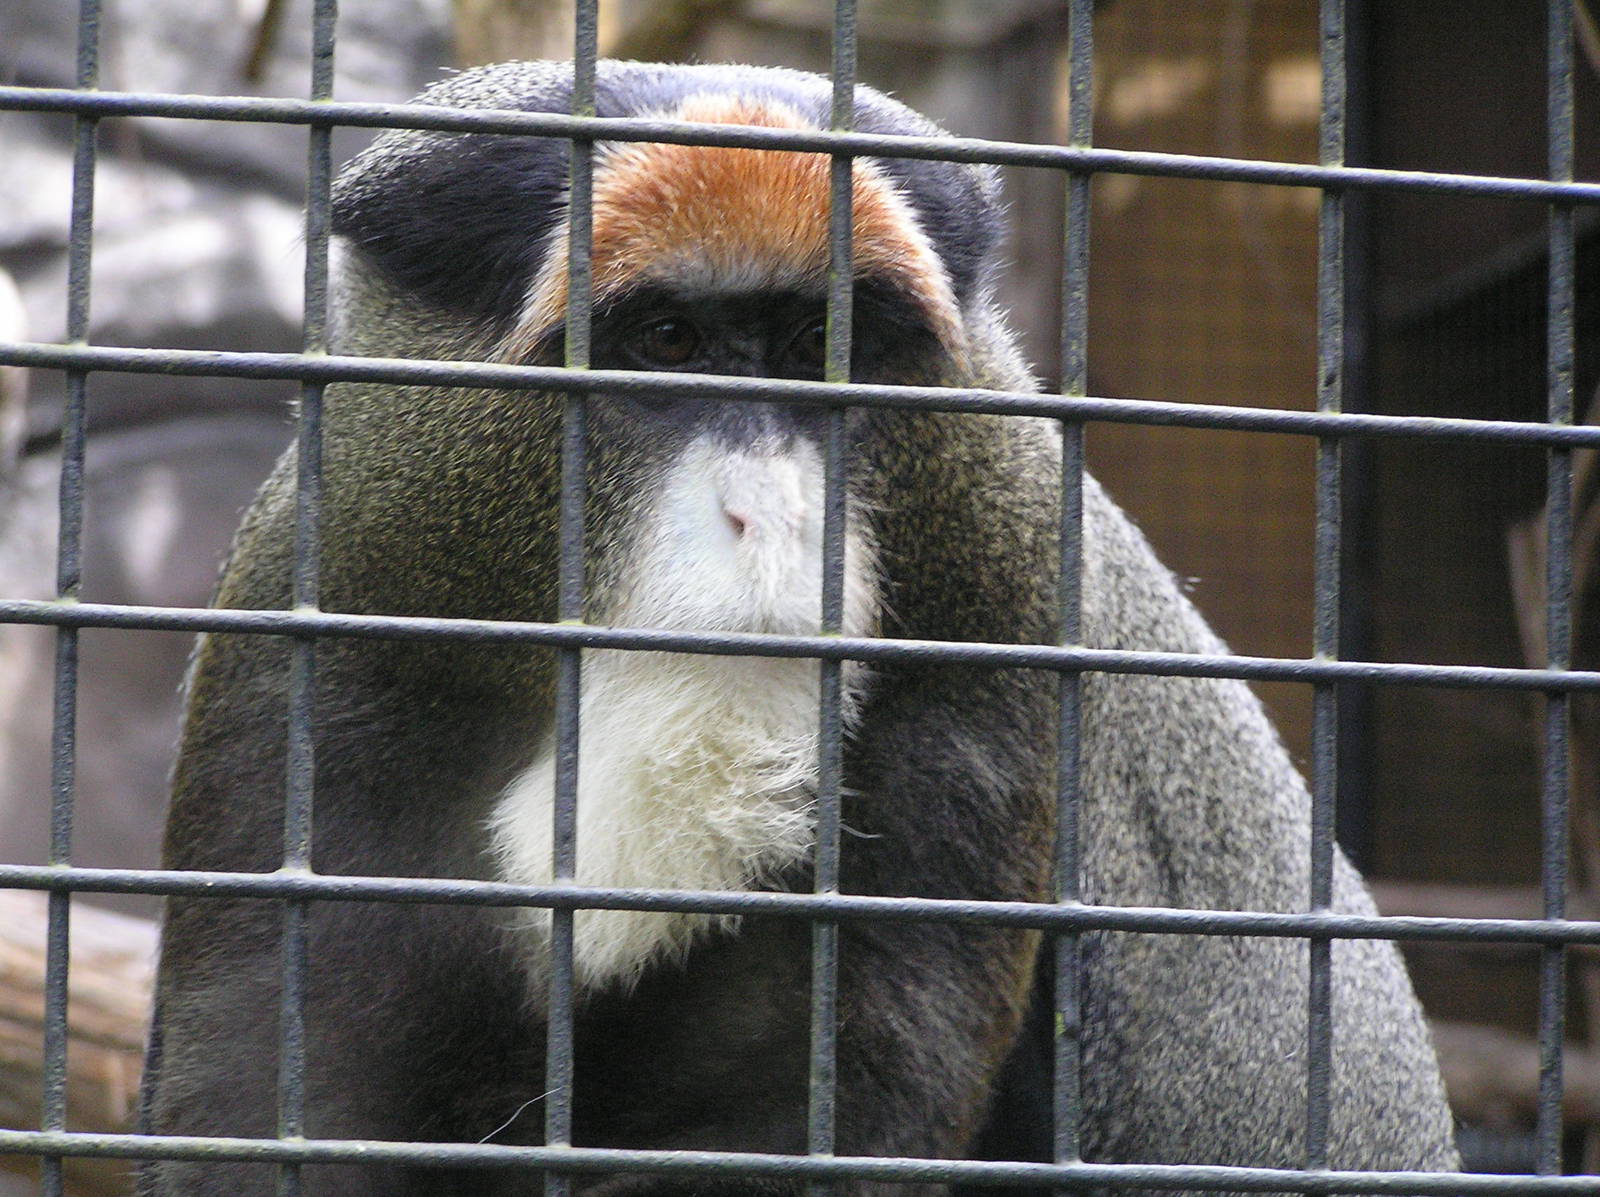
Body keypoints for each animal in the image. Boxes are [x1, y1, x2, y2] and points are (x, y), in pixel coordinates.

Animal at [139, 60, 1460, 1196]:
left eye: (822, 349)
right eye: (667, 341)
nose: (768, 515)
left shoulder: (998, 617)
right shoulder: (316, 633)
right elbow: (262, 1102)